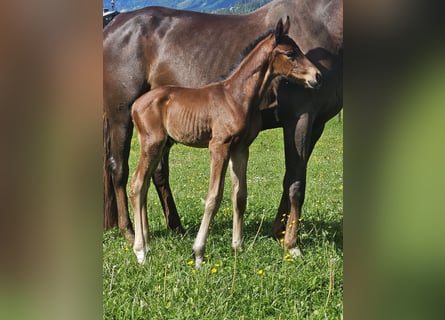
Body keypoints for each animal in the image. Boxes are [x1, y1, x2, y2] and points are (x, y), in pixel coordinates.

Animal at [102, 0, 342, 256]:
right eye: (290, 53)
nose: (317, 76)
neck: (234, 94)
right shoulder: (290, 120)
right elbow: (219, 195)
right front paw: (291, 245)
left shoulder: (249, 145)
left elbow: (244, 193)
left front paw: (253, 240)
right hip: (123, 120)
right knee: (124, 173)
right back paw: (132, 236)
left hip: (159, 141)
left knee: (150, 178)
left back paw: (160, 232)